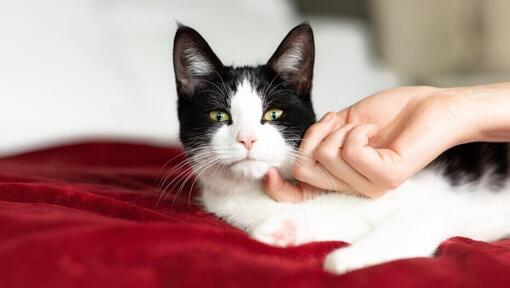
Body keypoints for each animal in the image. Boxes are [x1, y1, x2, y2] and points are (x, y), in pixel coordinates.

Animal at [172, 23, 510, 274]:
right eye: (218, 116)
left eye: (273, 114)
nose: (247, 139)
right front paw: (280, 230)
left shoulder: (435, 203)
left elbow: (415, 222)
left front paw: (343, 259)